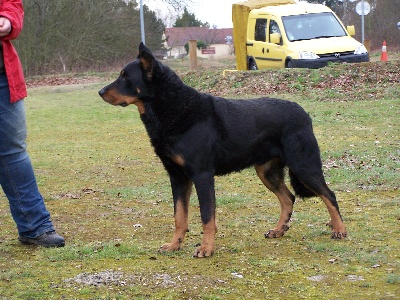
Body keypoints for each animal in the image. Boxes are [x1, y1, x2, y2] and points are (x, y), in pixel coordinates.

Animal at [97, 42, 346, 258]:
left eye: (125, 77)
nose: (100, 92)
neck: (174, 109)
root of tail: (304, 114)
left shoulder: (202, 176)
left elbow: (207, 216)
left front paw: (206, 248)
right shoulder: (178, 177)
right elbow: (180, 216)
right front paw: (175, 245)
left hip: (303, 165)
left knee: (329, 195)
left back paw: (339, 229)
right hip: (267, 171)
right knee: (288, 198)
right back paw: (279, 229)